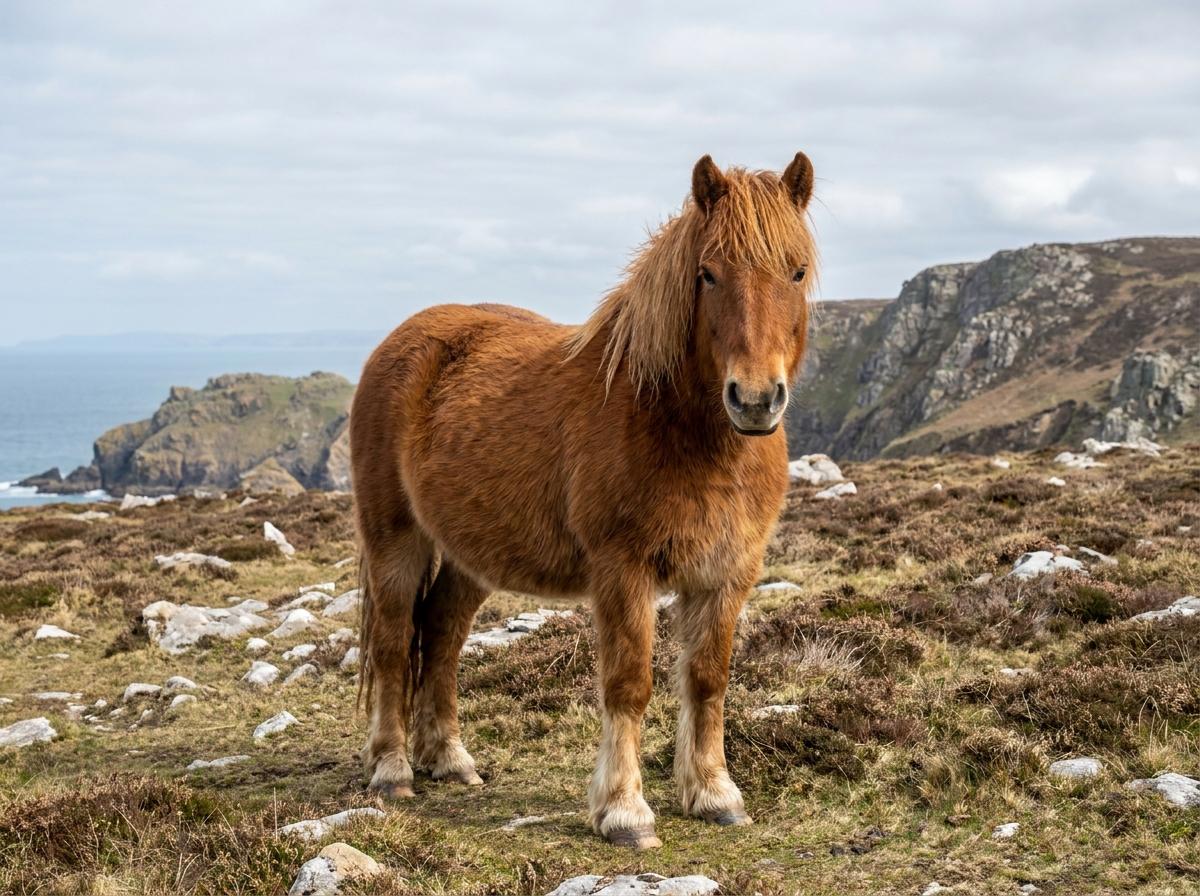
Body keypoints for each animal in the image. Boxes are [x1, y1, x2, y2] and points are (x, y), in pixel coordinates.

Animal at [350, 152, 817, 849]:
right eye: (708, 274)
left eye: (797, 270)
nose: (756, 400)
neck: (674, 424)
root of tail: (402, 342)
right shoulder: (622, 570)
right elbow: (628, 685)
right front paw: (624, 811)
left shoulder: (727, 573)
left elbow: (708, 680)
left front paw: (713, 794)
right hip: (395, 539)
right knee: (391, 640)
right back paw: (392, 770)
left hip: (468, 556)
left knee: (442, 634)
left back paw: (450, 760)